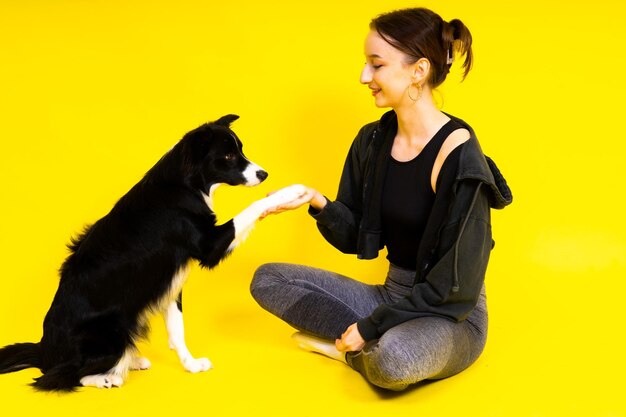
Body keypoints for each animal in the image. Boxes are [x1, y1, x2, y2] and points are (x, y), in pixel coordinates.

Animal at [0, 114, 304, 390]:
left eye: (240, 149)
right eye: (228, 155)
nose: (263, 174)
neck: (186, 183)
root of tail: (44, 349)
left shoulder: (169, 279)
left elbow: (177, 329)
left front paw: (191, 365)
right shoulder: (208, 245)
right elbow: (252, 208)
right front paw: (291, 192)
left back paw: (130, 360)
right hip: (111, 330)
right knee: (58, 376)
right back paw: (108, 377)